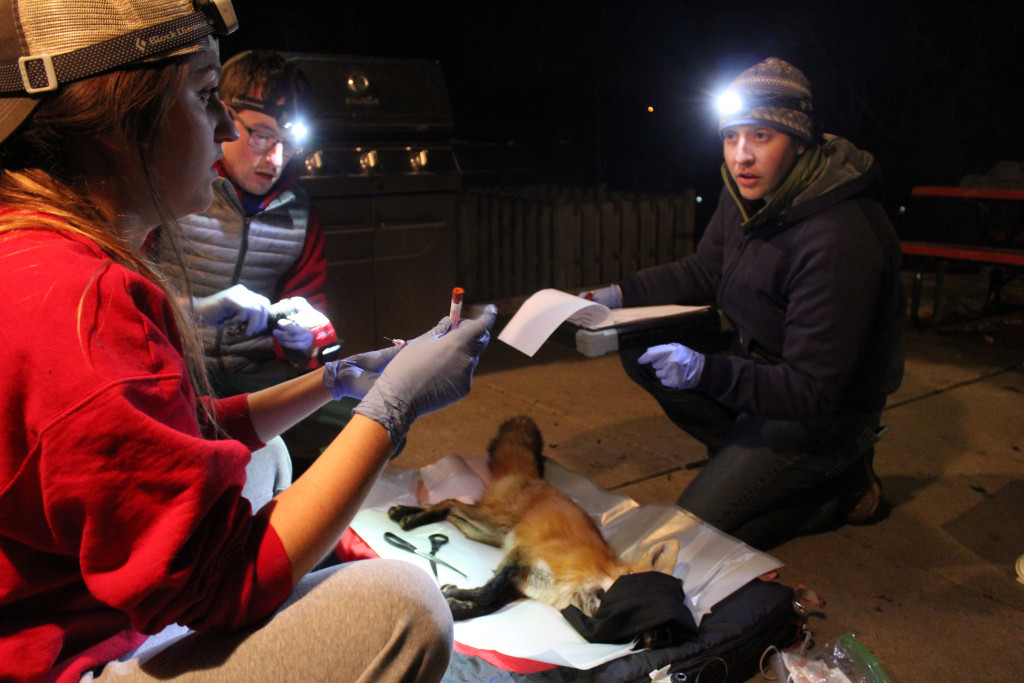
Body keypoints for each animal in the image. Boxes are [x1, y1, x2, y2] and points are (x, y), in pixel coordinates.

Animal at [387, 417, 675, 626]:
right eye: (629, 582)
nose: (606, 607)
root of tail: (535, 478)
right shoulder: (522, 555)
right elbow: (487, 593)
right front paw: (453, 596)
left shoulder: (520, 586)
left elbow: (485, 603)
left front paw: (457, 607)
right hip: (492, 522)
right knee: (450, 501)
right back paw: (410, 517)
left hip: (482, 532)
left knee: (450, 511)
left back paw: (406, 512)